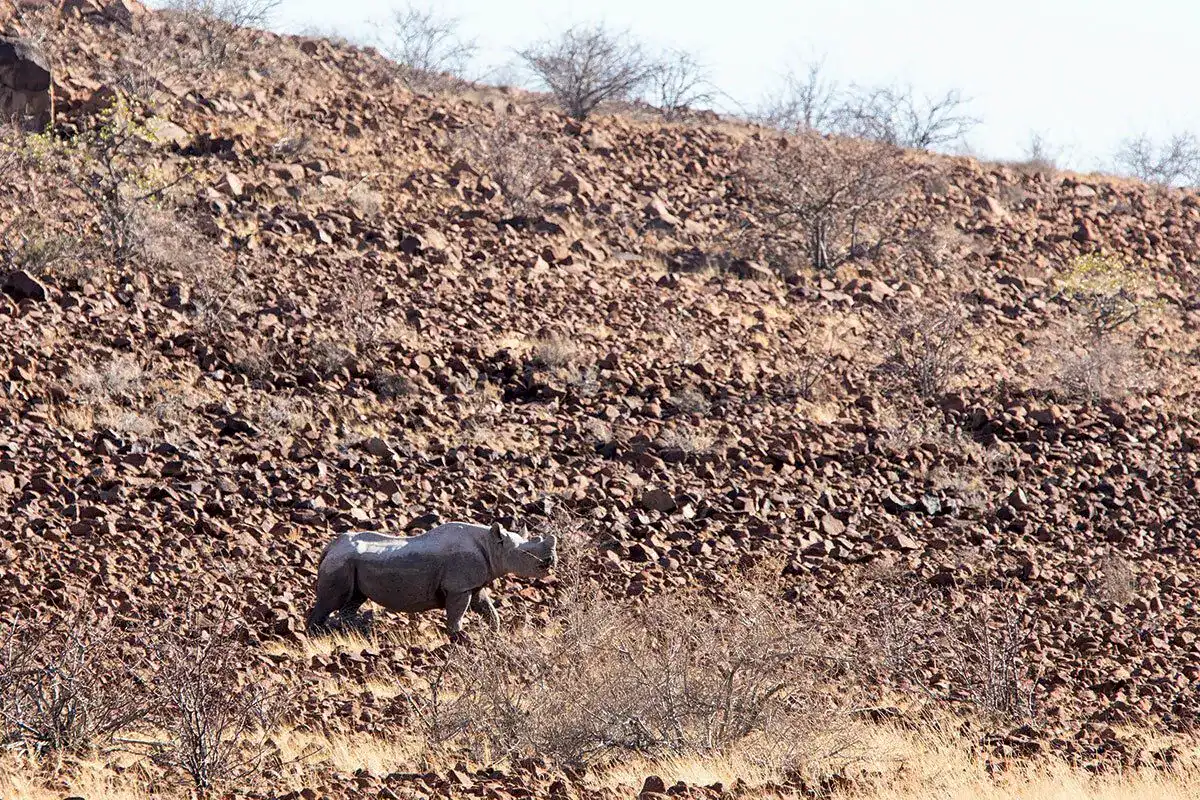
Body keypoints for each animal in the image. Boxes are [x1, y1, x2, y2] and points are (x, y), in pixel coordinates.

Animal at [306, 521, 557, 640]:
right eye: (526, 554)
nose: (551, 562)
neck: (491, 544)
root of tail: (330, 548)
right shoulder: (458, 587)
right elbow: (457, 613)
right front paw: (459, 637)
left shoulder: (474, 584)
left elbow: (487, 608)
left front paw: (495, 631)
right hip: (341, 562)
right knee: (331, 601)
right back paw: (314, 636)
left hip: (350, 562)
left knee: (354, 600)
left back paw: (352, 634)